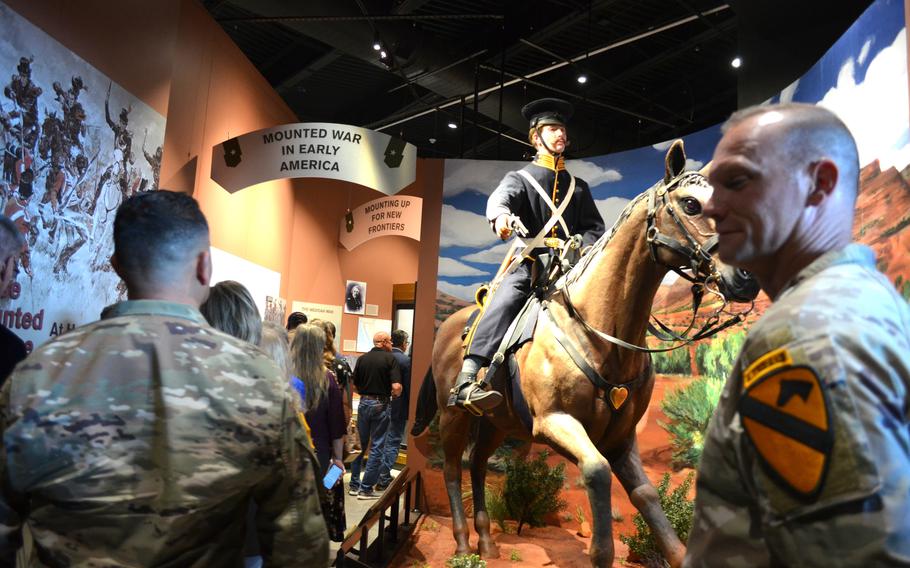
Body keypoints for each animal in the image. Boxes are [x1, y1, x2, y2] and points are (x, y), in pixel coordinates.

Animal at [414, 140, 756, 564]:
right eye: (691, 204)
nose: (746, 276)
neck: (600, 334)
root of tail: (445, 327)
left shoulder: (622, 436)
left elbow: (646, 494)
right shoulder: (555, 422)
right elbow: (596, 471)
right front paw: (600, 552)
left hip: (497, 421)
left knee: (477, 463)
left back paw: (488, 542)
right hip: (453, 416)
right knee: (451, 467)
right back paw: (463, 544)